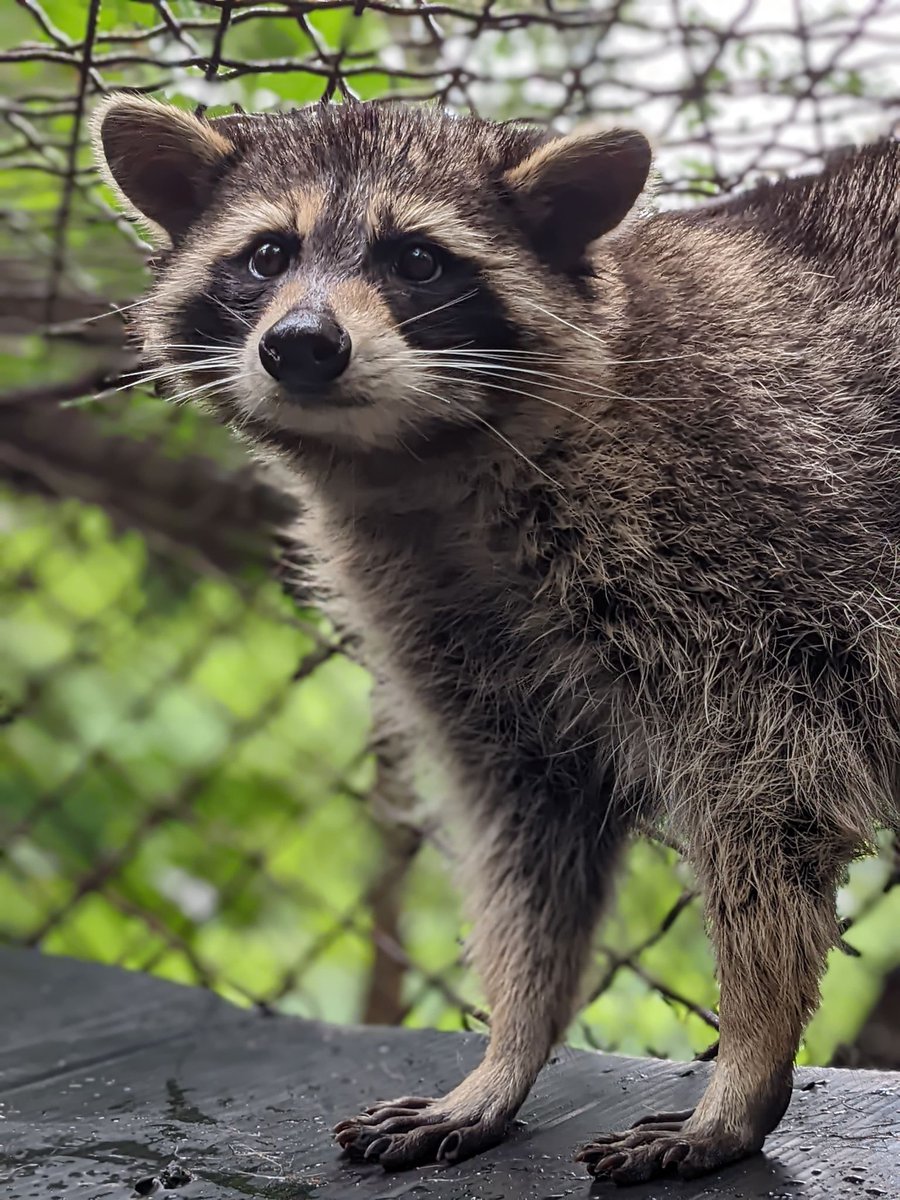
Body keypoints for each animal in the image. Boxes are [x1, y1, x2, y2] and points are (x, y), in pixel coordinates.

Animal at [92, 94, 900, 1185]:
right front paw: (510, 1047)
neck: (425, 467)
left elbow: (768, 810)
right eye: (266, 255)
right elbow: (530, 836)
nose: (301, 344)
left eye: (417, 261)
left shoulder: (750, 564)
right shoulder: (452, 631)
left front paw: (749, 1060)